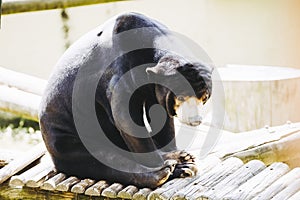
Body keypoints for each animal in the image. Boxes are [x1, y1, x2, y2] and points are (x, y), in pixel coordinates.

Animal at [39, 12, 213, 188]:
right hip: (67, 137)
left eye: (204, 98)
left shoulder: (154, 86)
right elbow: (126, 119)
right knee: (103, 159)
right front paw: (171, 165)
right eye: (182, 97)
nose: (195, 120)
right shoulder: (119, 71)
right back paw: (163, 172)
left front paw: (177, 154)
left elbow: (159, 114)